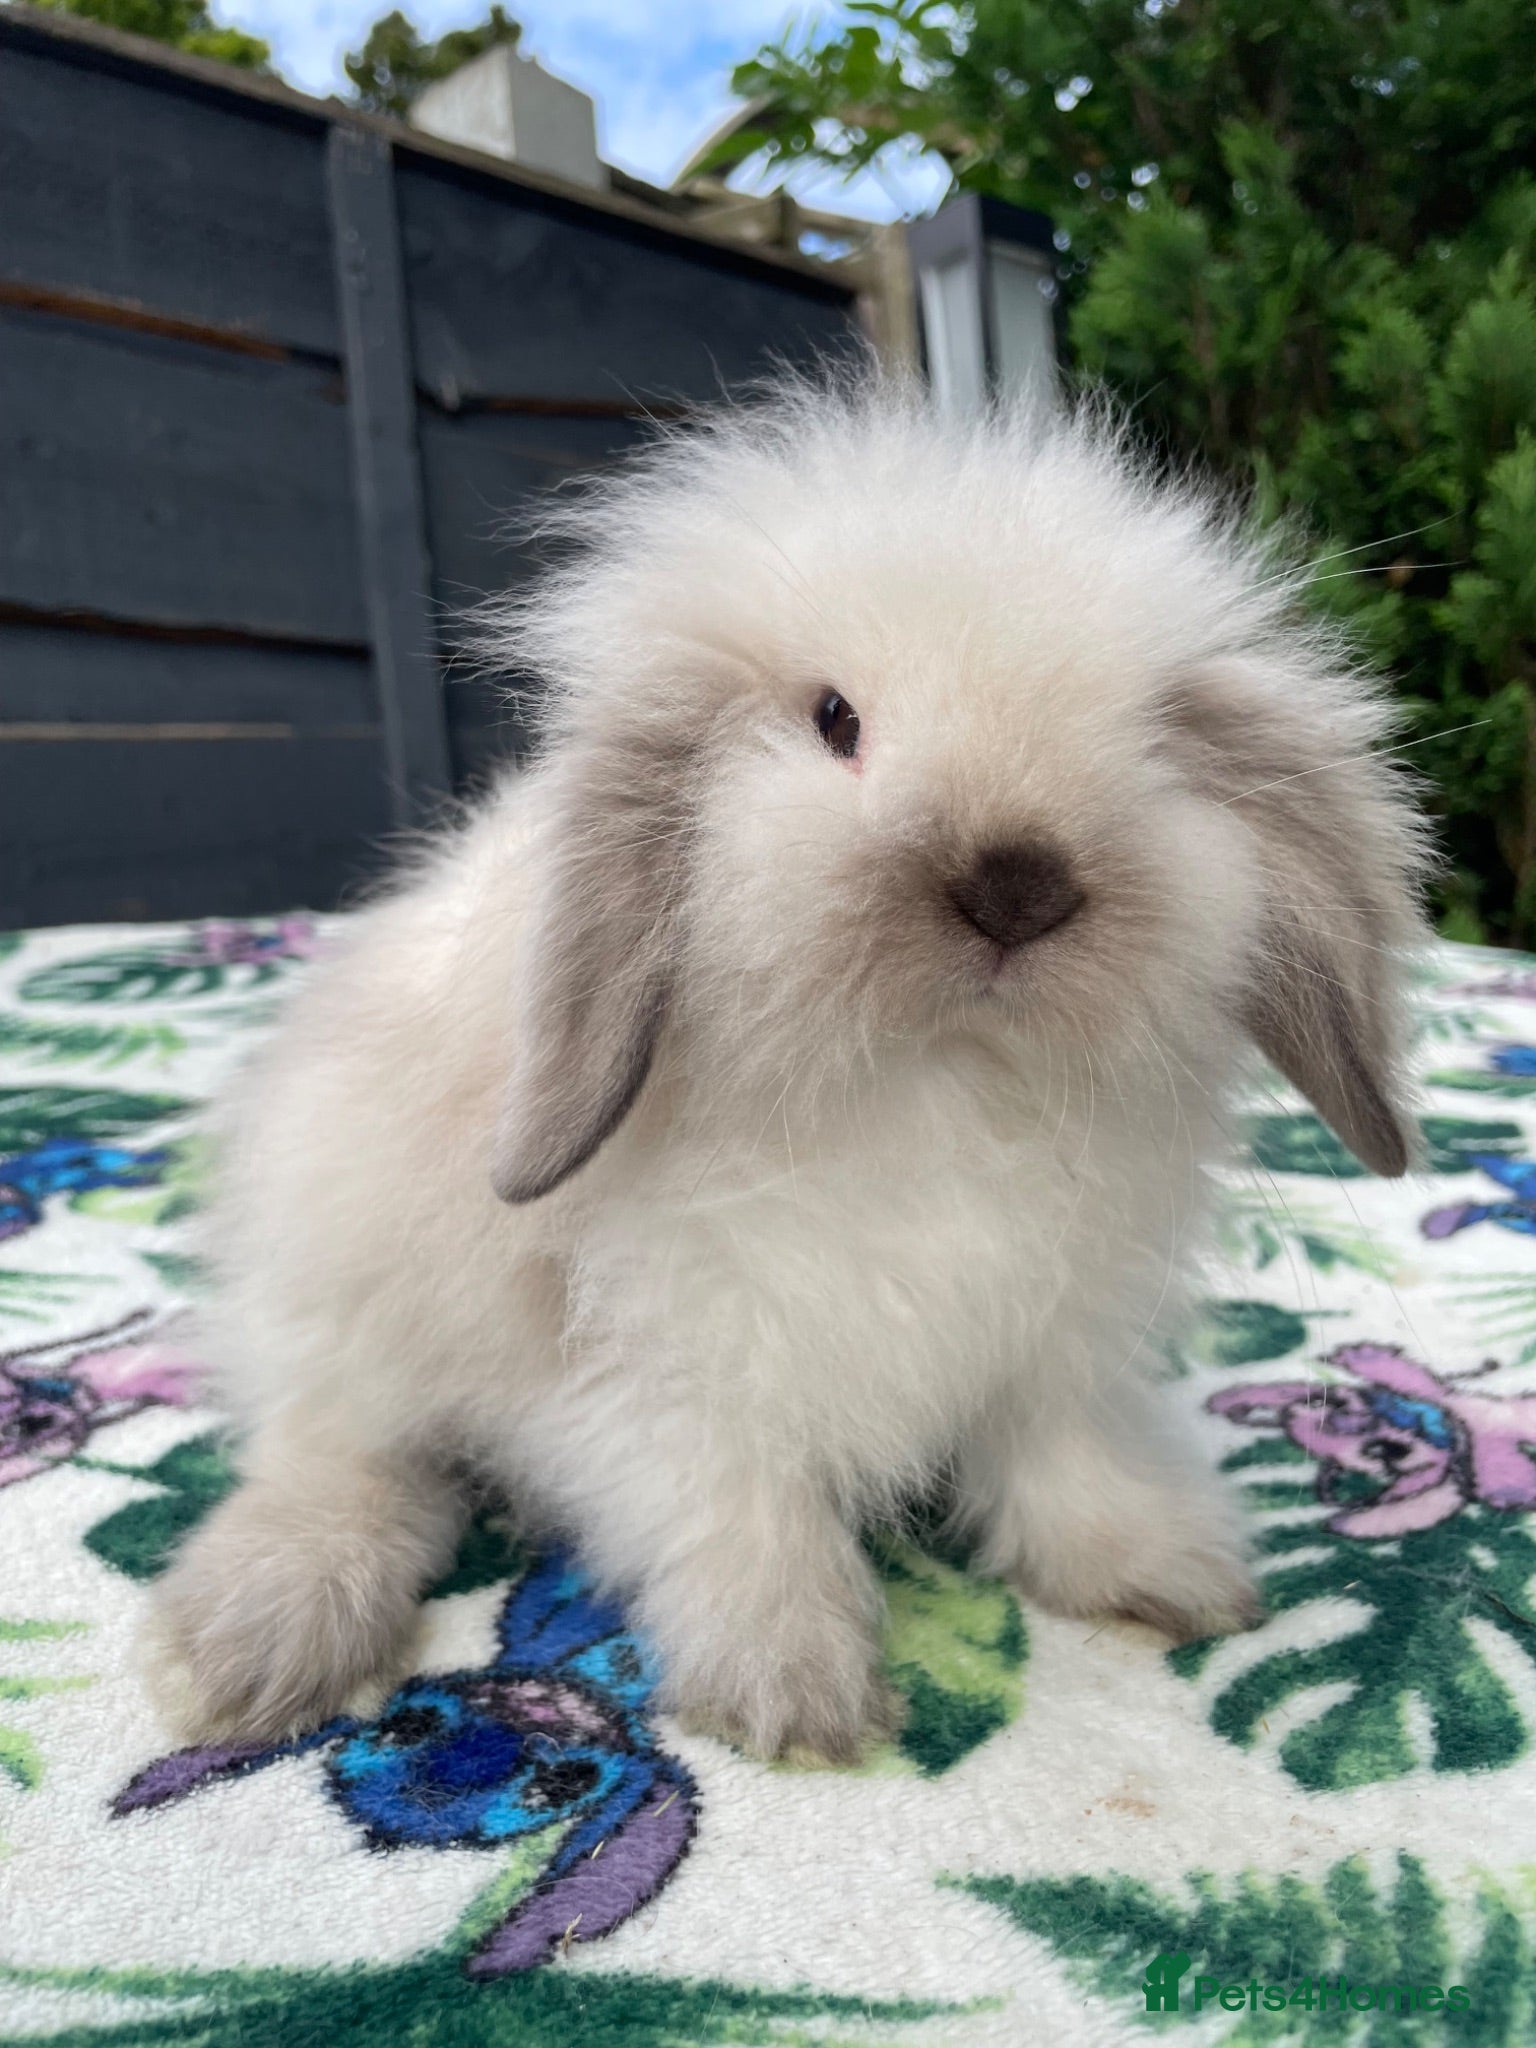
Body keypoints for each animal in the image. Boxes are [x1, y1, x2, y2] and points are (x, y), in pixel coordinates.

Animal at [146, 373, 1428, 1764]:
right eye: (835, 720)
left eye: (1154, 742)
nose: (1018, 883)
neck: (935, 1086)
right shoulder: (669, 1373)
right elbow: (737, 1506)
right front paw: (789, 1687)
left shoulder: (1051, 1347)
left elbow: (1061, 1458)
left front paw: (1161, 1570)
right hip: (339, 1284)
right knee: (338, 1451)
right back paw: (265, 1631)